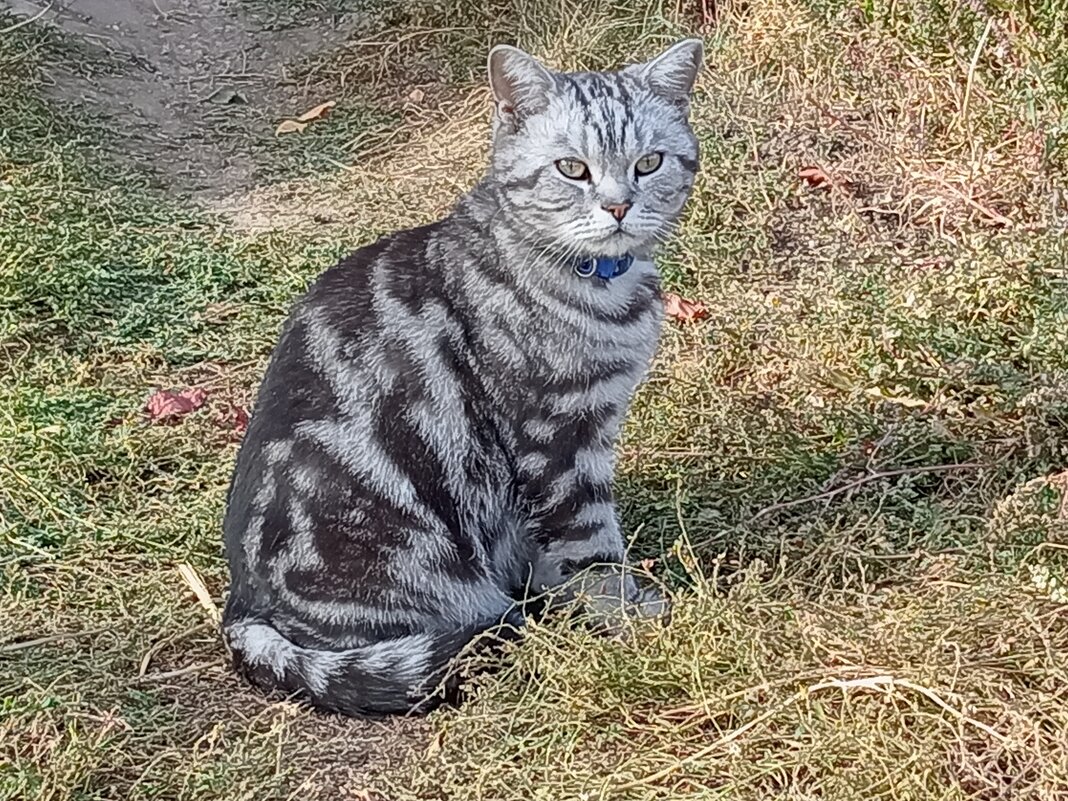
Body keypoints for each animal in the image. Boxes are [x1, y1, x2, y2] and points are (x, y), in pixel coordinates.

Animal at [221, 37, 704, 717]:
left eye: (650, 162)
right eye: (572, 169)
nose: (618, 206)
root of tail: (242, 610)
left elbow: (546, 546)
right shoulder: (556, 435)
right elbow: (590, 543)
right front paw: (627, 615)